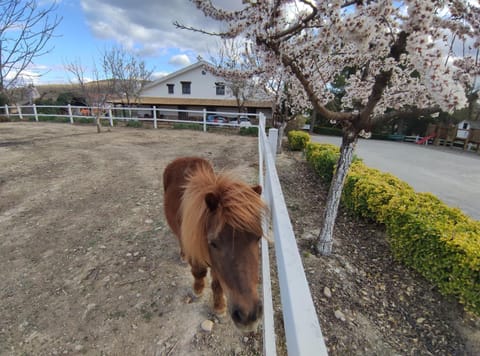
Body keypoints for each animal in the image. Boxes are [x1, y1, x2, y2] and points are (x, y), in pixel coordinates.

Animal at [163, 156, 264, 330]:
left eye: (258, 237)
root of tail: (181, 159)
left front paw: (219, 307)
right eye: (213, 243)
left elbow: (217, 285)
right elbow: (199, 273)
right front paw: (198, 290)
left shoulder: (218, 268)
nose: (248, 316)